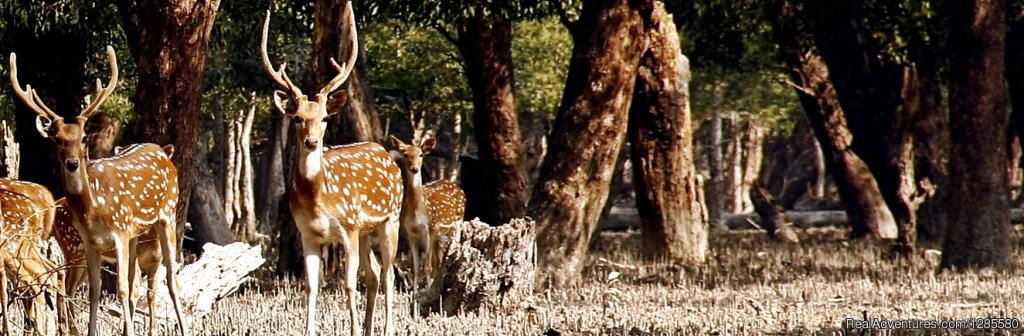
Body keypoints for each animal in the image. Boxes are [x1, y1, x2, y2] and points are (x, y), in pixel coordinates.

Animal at [10, 45, 188, 336]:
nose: (72, 163)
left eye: (84, 138)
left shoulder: (119, 233)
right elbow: (95, 292)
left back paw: (183, 327)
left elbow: (122, 289)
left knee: (171, 279)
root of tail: (162, 152)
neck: (93, 209)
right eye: (57, 139)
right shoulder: (92, 243)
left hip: (167, 214)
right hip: (129, 236)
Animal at [262, 3, 401, 336]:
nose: (312, 141)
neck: (318, 197)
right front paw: (311, 330)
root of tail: (385, 152)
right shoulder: (307, 233)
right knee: (374, 273)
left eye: (325, 117)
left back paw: (386, 328)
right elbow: (311, 287)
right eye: (297, 117)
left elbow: (349, 285)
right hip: (367, 230)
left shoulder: (348, 227)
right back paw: (369, 328)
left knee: (388, 274)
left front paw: (352, 329)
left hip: (390, 218)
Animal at [389, 135, 466, 297]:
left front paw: (427, 289)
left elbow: (427, 266)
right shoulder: (409, 233)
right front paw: (414, 293)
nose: (415, 168)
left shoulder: (429, 230)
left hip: (457, 224)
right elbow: (415, 267)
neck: (418, 210)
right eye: (405, 154)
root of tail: (457, 186)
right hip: (438, 235)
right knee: (439, 259)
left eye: (421, 155)